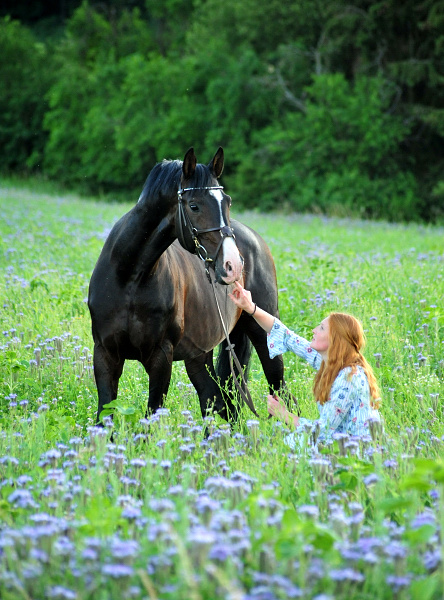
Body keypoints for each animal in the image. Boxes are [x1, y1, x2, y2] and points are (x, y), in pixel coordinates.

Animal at [88, 148, 294, 424]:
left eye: (227, 202)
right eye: (194, 205)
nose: (233, 265)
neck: (130, 278)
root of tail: (254, 239)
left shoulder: (161, 357)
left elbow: (151, 415)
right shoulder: (104, 354)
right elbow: (104, 415)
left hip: (262, 333)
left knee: (280, 391)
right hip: (199, 355)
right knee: (216, 402)